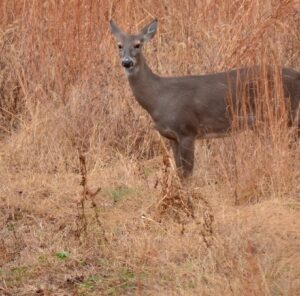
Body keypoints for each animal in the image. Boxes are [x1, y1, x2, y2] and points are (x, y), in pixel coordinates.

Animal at [109, 19, 300, 179]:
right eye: (119, 45)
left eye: (138, 45)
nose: (127, 62)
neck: (158, 98)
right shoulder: (172, 137)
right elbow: (179, 172)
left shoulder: (187, 130)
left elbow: (187, 174)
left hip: (285, 113)